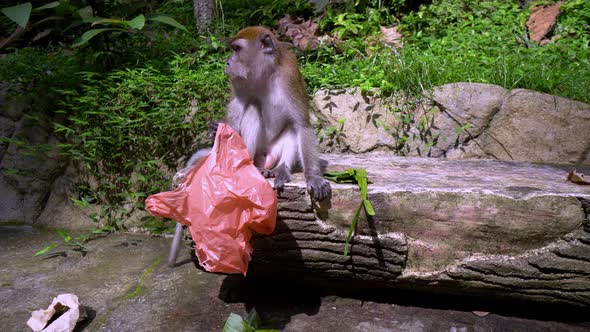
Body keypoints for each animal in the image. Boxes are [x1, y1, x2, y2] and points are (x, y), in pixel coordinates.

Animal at [168, 27, 332, 268]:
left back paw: (280, 169)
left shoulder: (290, 75)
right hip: (255, 153)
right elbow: (238, 111)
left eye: (237, 49)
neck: (264, 74)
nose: (227, 62)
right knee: (252, 108)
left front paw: (313, 177)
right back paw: (250, 167)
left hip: (273, 153)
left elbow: (301, 124)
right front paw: (216, 133)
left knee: (291, 128)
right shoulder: (239, 82)